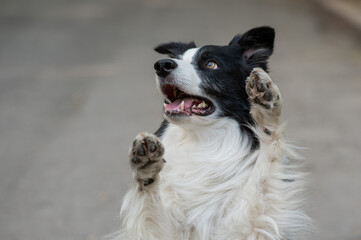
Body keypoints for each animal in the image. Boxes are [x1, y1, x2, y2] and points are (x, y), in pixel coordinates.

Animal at [115, 26, 310, 240]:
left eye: (211, 64)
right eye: (176, 58)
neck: (202, 140)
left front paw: (267, 106)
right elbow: (148, 201)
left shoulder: (246, 227)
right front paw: (145, 166)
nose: (161, 65)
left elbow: (265, 168)